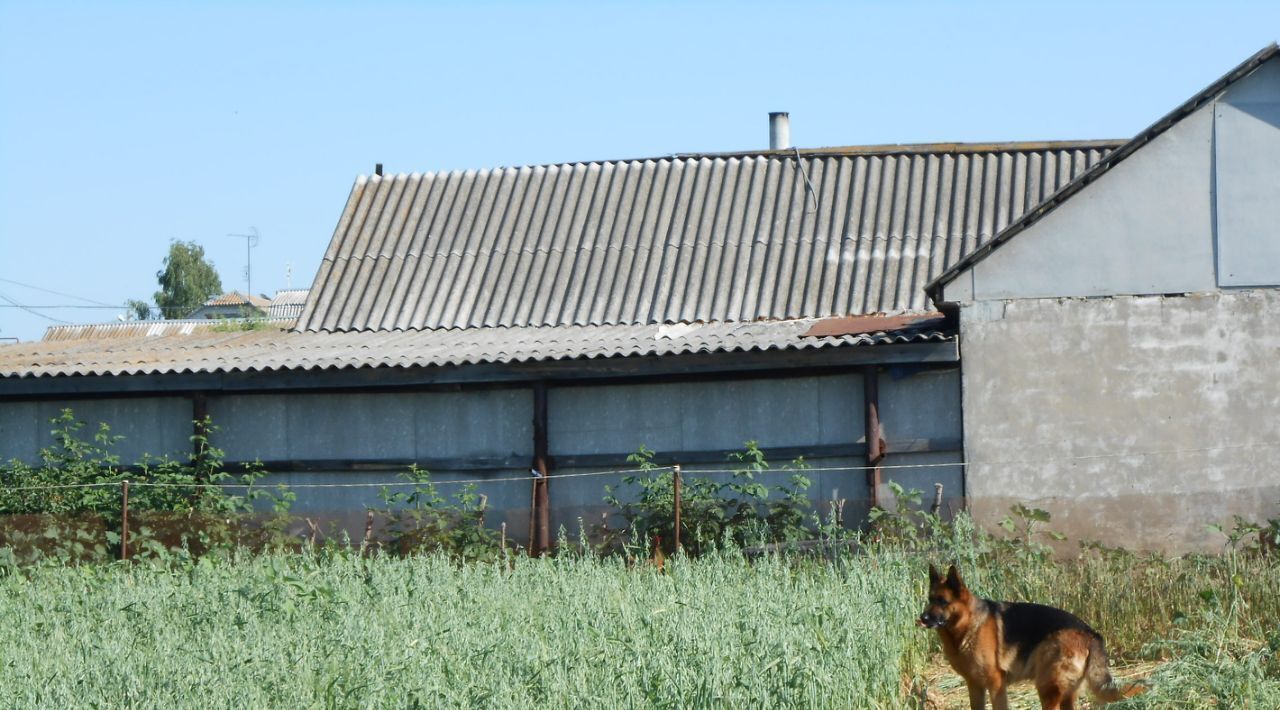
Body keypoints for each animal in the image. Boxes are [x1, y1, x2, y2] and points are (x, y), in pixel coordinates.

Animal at [916, 562, 1146, 706]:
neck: (968, 625)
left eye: (942, 602)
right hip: (1065, 693)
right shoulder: (975, 686)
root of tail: (1090, 633)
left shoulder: (996, 683)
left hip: (1047, 687)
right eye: (930, 599)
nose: (922, 618)